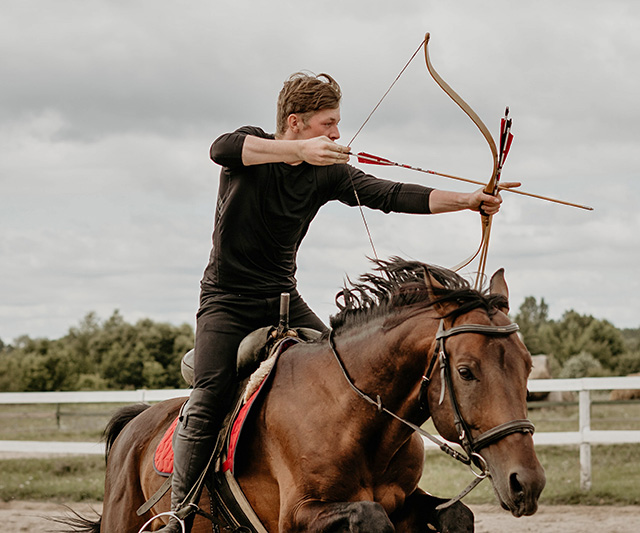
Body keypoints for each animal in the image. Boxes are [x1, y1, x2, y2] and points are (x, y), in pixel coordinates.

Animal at [65, 258, 544, 532]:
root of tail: (135, 423)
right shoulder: (296, 516)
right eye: (466, 371)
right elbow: (370, 519)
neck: (355, 418)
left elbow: (456, 514)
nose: (527, 483)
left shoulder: (404, 501)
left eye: (527, 366)